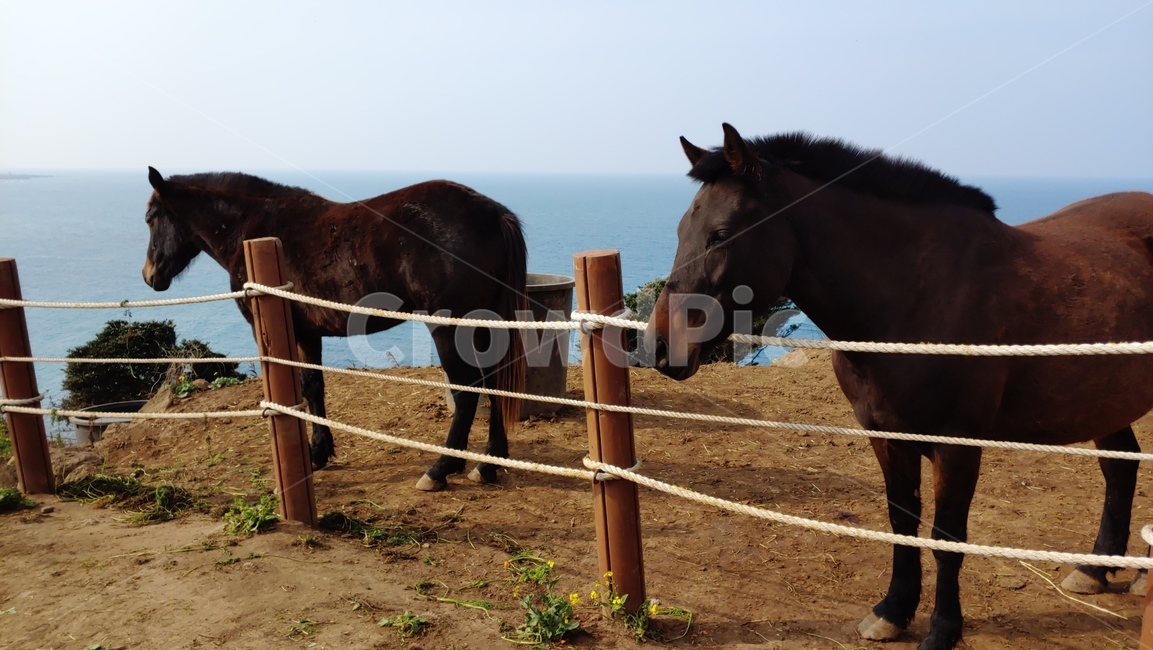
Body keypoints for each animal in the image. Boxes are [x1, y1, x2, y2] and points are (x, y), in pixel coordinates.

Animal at [141, 167, 527, 492]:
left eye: (150, 218)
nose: (149, 275)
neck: (254, 230)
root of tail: (493, 214)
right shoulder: (309, 333)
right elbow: (314, 388)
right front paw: (319, 452)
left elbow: (301, 388)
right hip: (483, 323)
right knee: (495, 383)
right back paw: (489, 463)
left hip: (449, 327)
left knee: (467, 391)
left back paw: (441, 468)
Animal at [645, 124, 1153, 650]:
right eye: (681, 231)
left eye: (721, 235)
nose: (660, 345)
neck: (915, 296)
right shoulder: (888, 438)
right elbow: (901, 522)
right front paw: (892, 611)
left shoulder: (957, 446)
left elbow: (947, 539)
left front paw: (943, 629)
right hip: (1102, 401)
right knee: (1120, 467)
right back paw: (1096, 570)